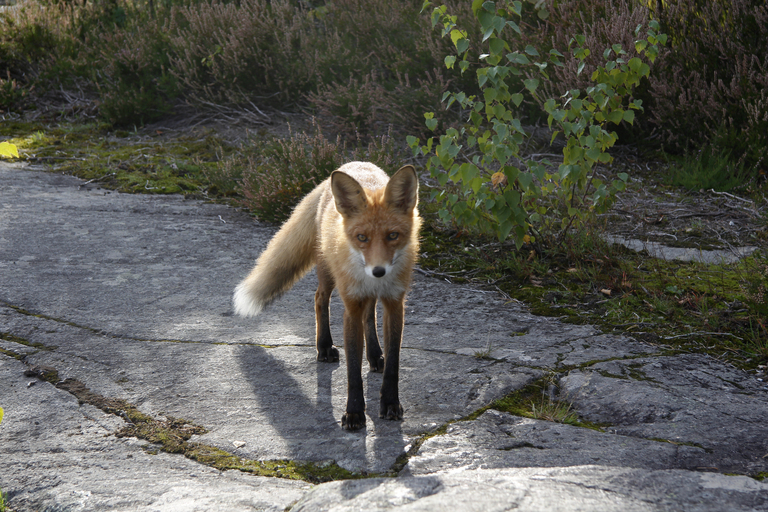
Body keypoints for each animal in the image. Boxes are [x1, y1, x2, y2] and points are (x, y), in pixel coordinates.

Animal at [234, 162, 420, 430]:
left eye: (393, 235)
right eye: (361, 238)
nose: (378, 271)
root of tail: (348, 164)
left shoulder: (395, 304)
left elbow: (393, 364)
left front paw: (390, 404)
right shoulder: (350, 308)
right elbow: (353, 371)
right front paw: (354, 412)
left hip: (364, 294)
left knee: (369, 315)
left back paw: (374, 355)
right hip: (327, 272)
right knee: (319, 299)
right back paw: (323, 347)